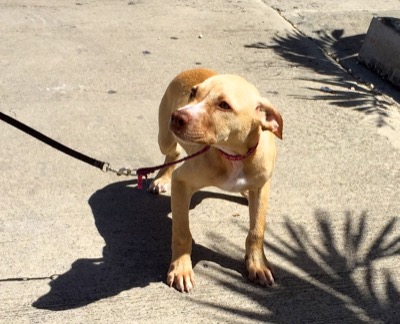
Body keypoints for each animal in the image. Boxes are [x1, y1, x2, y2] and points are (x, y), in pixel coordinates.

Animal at [148, 67, 282, 292]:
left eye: (224, 105)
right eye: (193, 93)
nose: (177, 116)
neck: (234, 155)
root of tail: (190, 69)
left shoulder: (262, 187)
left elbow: (257, 231)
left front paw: (257, 264)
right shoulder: (182, 182)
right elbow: (182, 232)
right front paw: (181, 268)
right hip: (164, 138)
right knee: (172, 152)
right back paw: (162, 178)